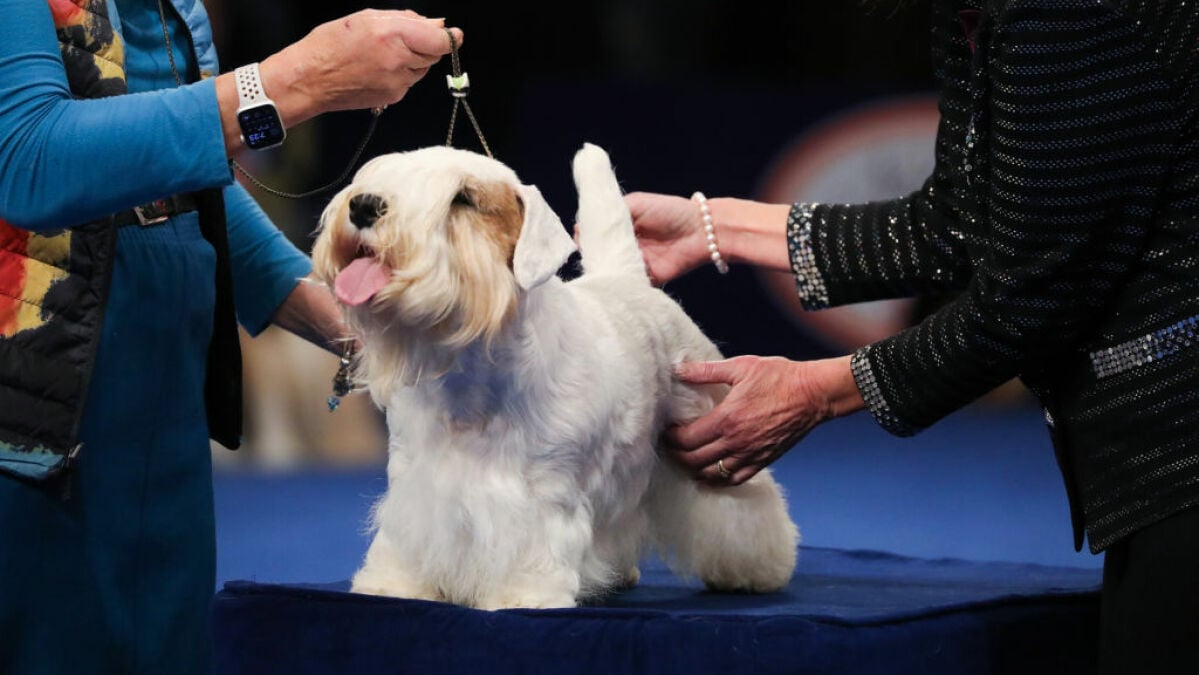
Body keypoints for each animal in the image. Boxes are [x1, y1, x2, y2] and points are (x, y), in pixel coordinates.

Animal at [309, 145, 796, 609]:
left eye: (463, 198)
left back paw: (757, 571)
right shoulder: (415, 479)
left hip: (704, 430)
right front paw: (396, 584)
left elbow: (534, 545)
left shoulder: (544, 490)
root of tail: (629, 281)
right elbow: (409, 538)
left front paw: (523, 594)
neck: (471, 374)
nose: (364, 206)